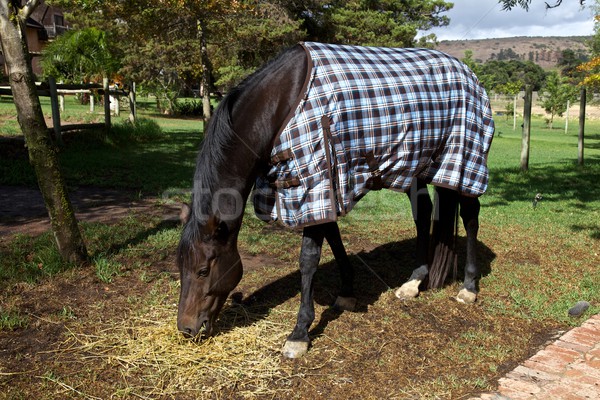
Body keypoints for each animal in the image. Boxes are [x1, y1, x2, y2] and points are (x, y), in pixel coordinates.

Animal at [176, 41, 494, 360]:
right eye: (180, 266)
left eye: (203, 270)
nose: (186, 329)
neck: (280, 104)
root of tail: (468, 73)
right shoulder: (322, 187)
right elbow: (333, 236)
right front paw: (347, 291)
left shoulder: (314, 180)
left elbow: (308, 259)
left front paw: (300, 333)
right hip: (415, 166)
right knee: (425, 212)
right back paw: (414, 282)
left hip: (464, 160)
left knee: (470, 217)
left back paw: (469, 287)